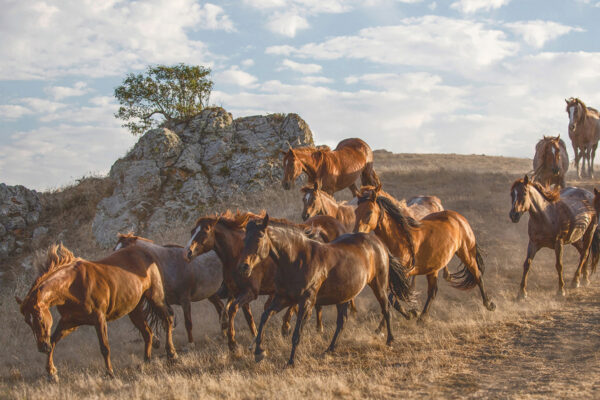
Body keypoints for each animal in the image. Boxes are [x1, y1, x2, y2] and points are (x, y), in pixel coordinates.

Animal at [15, 242, 177, 380]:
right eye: (27, 321)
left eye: (39, 317)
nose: (42, 346)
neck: (72, 286)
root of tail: (147, 253)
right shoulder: (70, 322)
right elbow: (53, 341)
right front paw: (51, 373)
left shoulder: (99, 319)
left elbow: (104, 347)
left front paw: (110, 373)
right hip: (134, 308)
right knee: (147, 333)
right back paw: (146, 362)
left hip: (155, 296)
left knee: (168, 319)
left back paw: (172, 355)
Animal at [185, 209, 350, 350]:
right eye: (192, 231)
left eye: (205, 231)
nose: (188, 252)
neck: (236, 254)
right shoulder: (238, 293)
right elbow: (246, 316)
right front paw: (252, 337)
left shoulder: (250, 292)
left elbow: (233, 310)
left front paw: (233, 345)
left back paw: (291, 326)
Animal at [237, 216, 414, 366]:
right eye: (245, 238)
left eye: (260, 236)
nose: (244, 267)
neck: (297, 259)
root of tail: (379, 243)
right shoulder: (283, 298)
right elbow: (264, 317)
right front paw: (259, 352)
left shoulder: (306, 302)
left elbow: (296, 333)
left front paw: (290, 362)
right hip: (344, 296)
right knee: (342, 322)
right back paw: (330, 349)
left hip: (379, 285)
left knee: (386, 308)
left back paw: (390, 340)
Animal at [354, 186, 494, 324]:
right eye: (355, 212)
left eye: (369, 212)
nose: (356, 233)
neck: (400, 239)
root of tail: (459, 217)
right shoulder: (391, 276)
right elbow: (389, 300)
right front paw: (386, 325)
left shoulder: (404, 274)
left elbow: (393, 299)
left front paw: (411, 313)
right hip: (433, 267)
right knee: (433, 291)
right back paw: (423, 317)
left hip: (466, 253)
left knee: (477, 275)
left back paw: (489, 304)